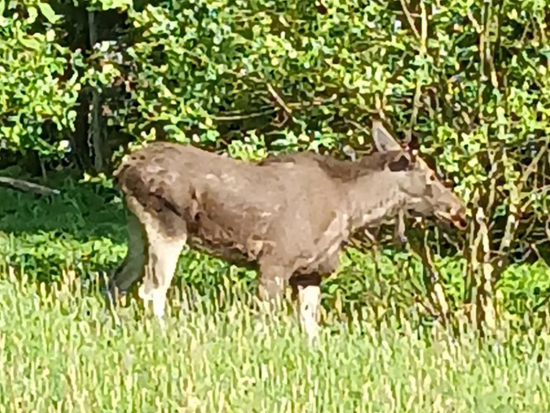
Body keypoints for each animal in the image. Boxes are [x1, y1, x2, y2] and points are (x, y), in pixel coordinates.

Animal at [109, 120, 470, 340]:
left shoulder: (310, 272)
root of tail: (123, 166)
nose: (460, 209)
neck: (351, 207)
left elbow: (311, 329)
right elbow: (264, 320)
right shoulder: (275, 261)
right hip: (167, 224)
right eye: (431, 176)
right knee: (152, 290)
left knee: (118, 282)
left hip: (137, 229)